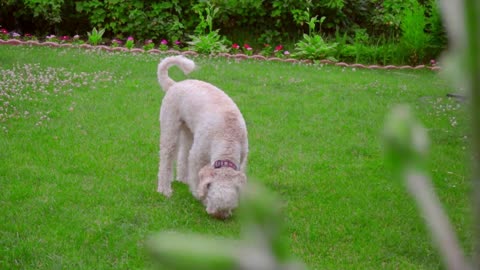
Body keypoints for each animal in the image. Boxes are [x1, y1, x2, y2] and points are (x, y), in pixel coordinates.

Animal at [157, 55, 249, 219]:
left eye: (230, 207)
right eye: (210, 197)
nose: (219, 216)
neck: (228, 136)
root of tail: (174, 84)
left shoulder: (242, 157)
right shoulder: (198, 155)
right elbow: (195, 176)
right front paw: (196, 193)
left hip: (189, 131)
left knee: (183, 153)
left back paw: (182, 179)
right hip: (170, 125)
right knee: (166, 157)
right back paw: (165, 190)